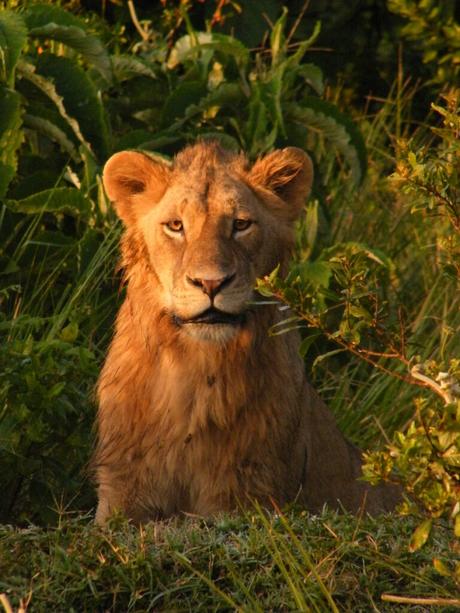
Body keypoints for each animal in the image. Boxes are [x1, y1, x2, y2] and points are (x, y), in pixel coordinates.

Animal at [95, 140, 400, 520]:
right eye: (176, 225)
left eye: (240, 224)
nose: (210, 283)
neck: (196, 372)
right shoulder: (122, 486)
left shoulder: (249, 491)